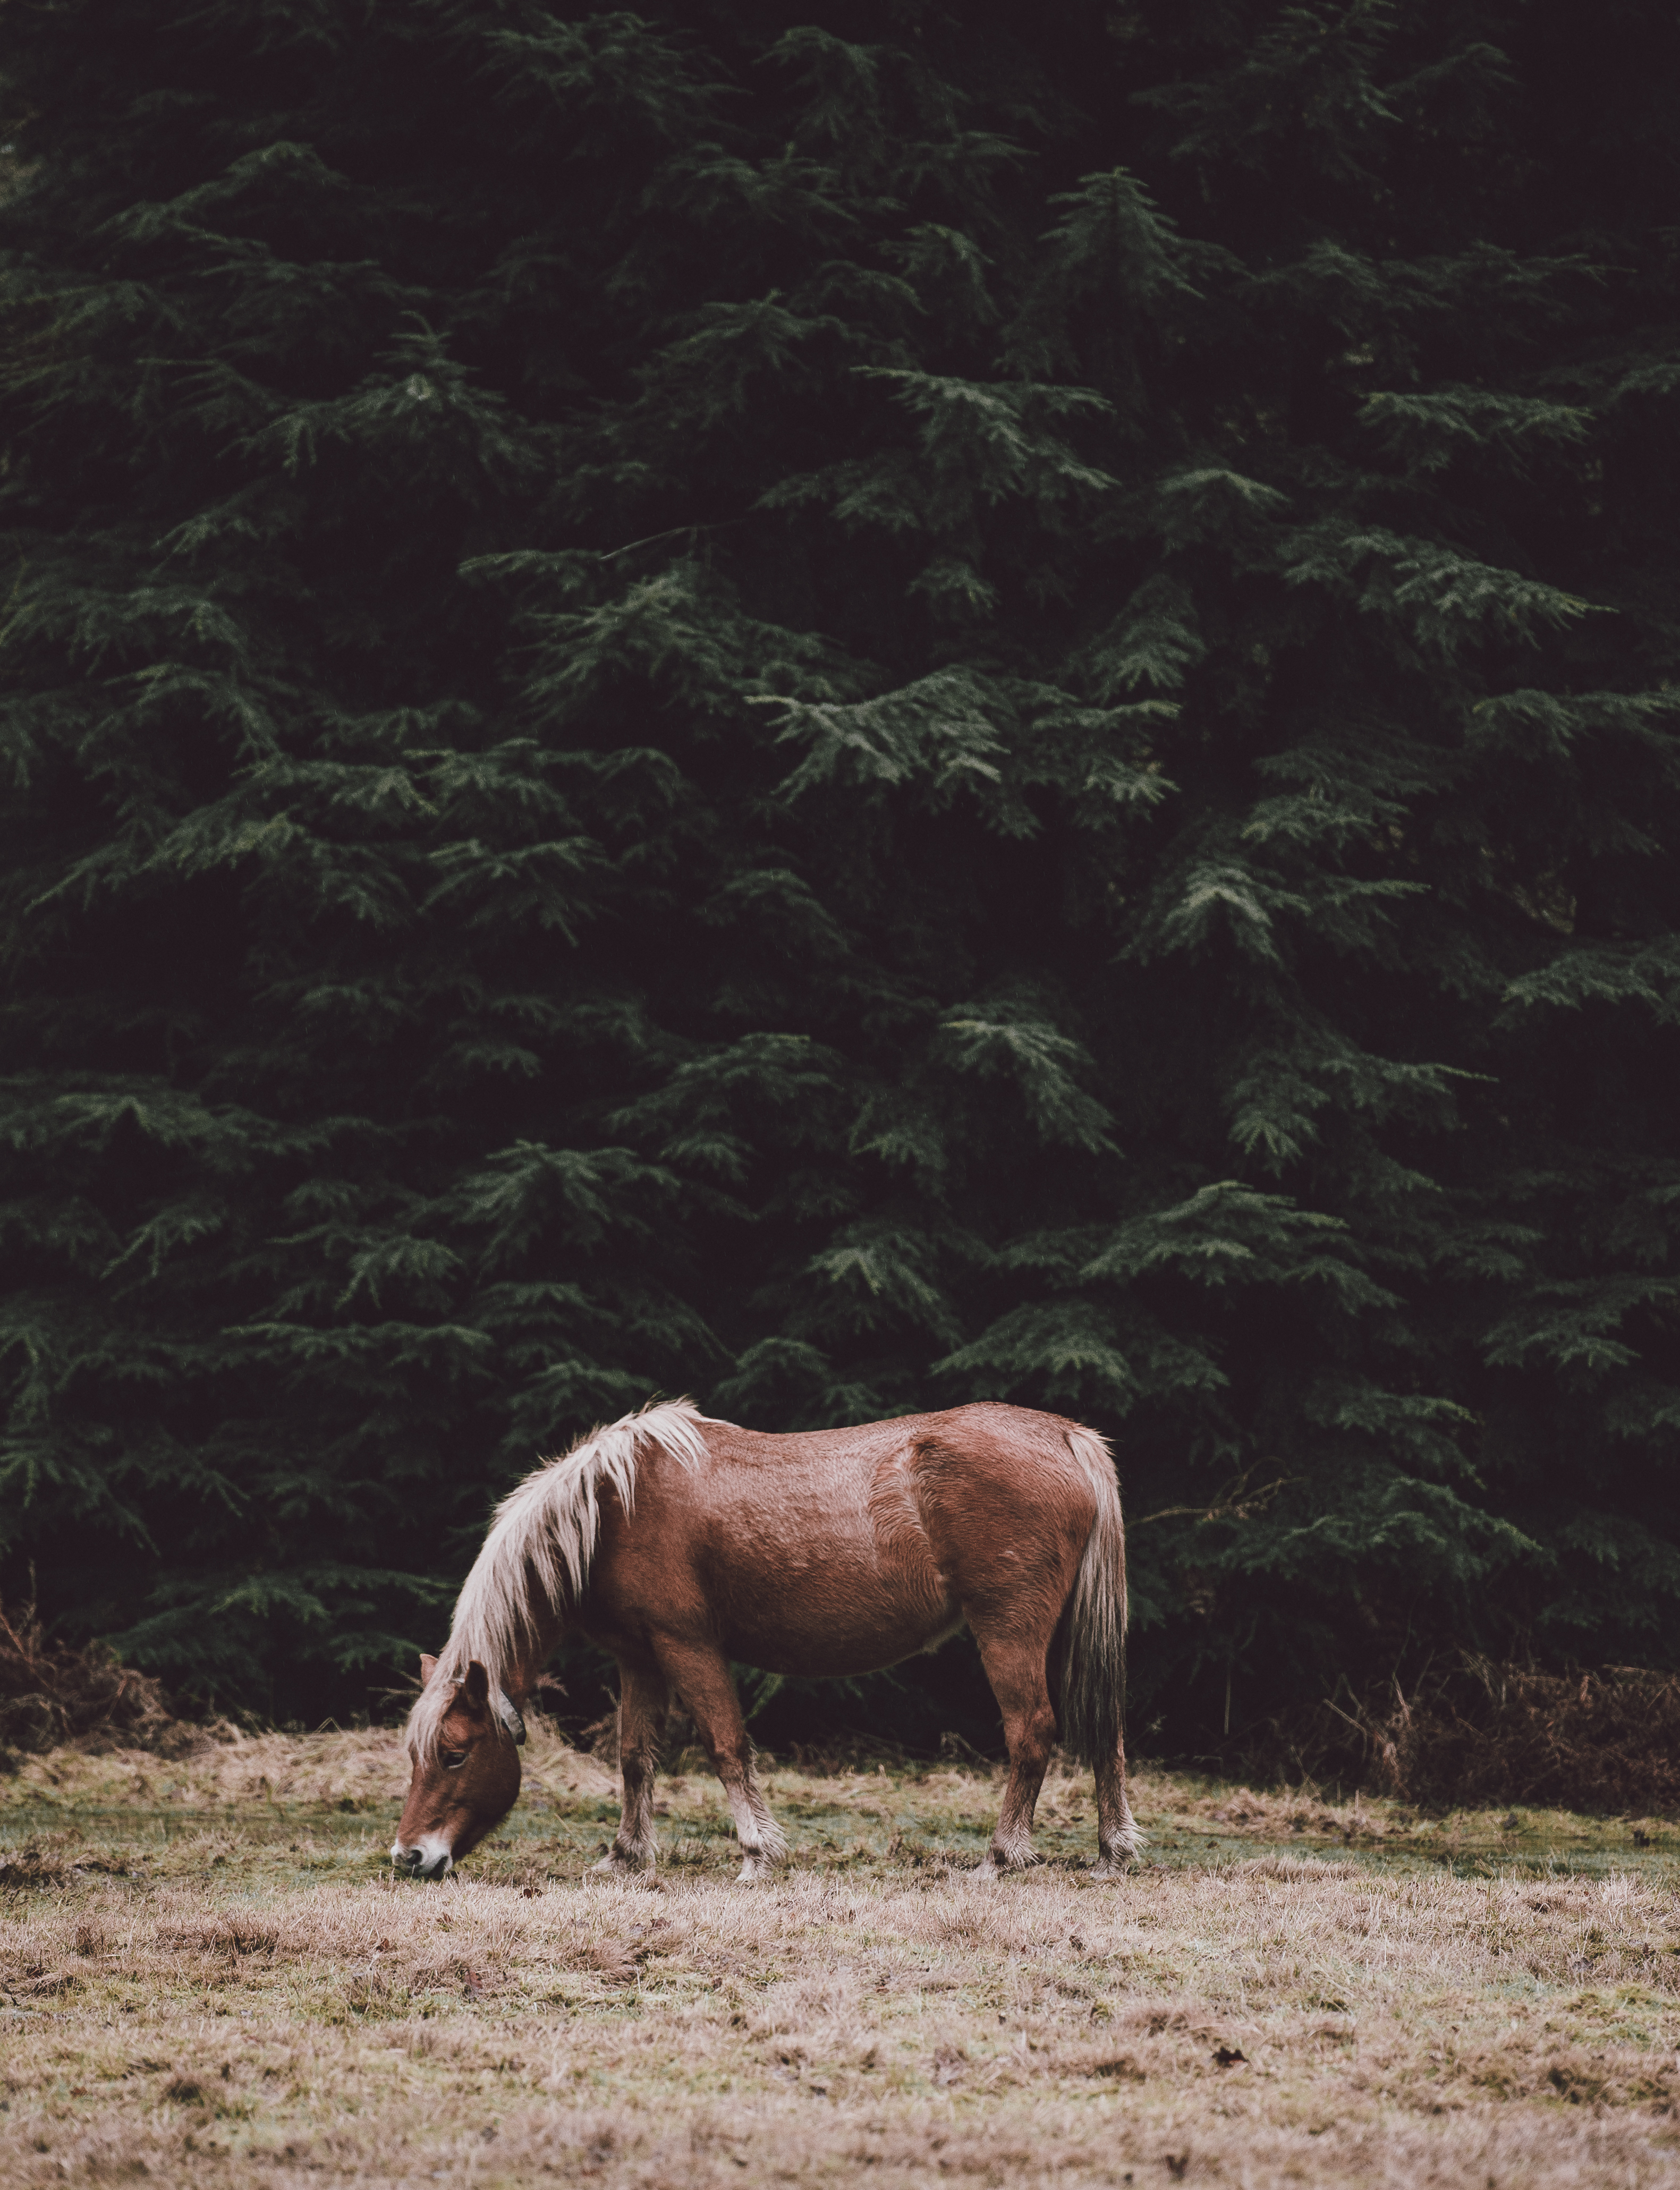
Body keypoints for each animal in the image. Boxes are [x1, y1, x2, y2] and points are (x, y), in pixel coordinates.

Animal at [389, 1402, 1139, 1883]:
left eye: (455, 1754)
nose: (409, 1858)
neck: (612, 1509)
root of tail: (1065, 1436)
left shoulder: (688, 1647)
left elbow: (727, 1747)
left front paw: (756, 1854)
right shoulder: (639, 1658)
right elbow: (634, 1759)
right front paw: (626, 1856)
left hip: (1008, 1630)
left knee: (1032, 1732)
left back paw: (999, 1858)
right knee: (1105, 1731)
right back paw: (1111, 1853)